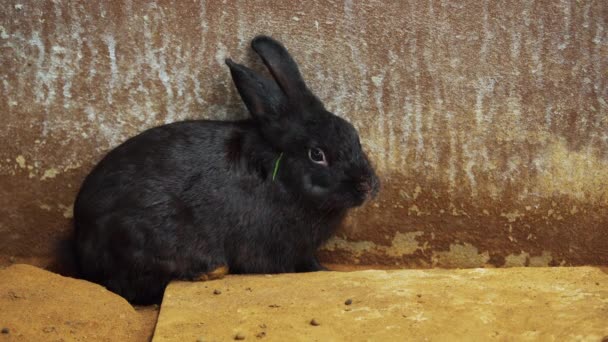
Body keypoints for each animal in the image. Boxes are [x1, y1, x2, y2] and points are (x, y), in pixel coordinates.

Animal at [73, 35, 380, 304]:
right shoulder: (282, 249)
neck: (281, 178)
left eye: (353, 134)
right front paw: (326, 272)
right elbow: (302, 265)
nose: (368, 187)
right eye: (317, 154)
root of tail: (80, 239)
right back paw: (210, 270)